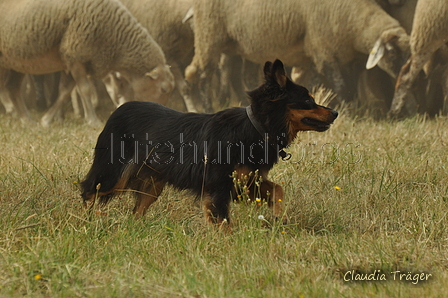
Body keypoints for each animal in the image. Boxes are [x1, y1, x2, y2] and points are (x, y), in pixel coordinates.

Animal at [0, 0, 174, 125]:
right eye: (163, 89)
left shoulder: (72, 59)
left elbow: (64, 92)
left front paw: (46, 120)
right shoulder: (76, 55)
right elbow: (84, 89)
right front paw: (92, 120)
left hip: (18, 62)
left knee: (13, 88)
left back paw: (28, 121)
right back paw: (16, 114)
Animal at [80, 59, 338, 225]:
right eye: (308, 100)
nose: (335, 113)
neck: (255, 126)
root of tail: (118, 109)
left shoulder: (246, 181)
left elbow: (277, 189)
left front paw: (277, 215)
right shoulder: (218, 186)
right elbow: (223, 221)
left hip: (152, 184)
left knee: (137, 211)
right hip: (115, 173)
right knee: (89, 190)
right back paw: (84, 223)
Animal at [186, 0, 410, 103]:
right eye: (392, 54)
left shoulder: (344, 57)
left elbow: (349, 86)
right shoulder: (322, 49)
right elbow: (341, 85)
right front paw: (351, 111)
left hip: (243, 43)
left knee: (244, 76)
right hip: (209, 33)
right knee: (201, 75)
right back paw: (207, 107)